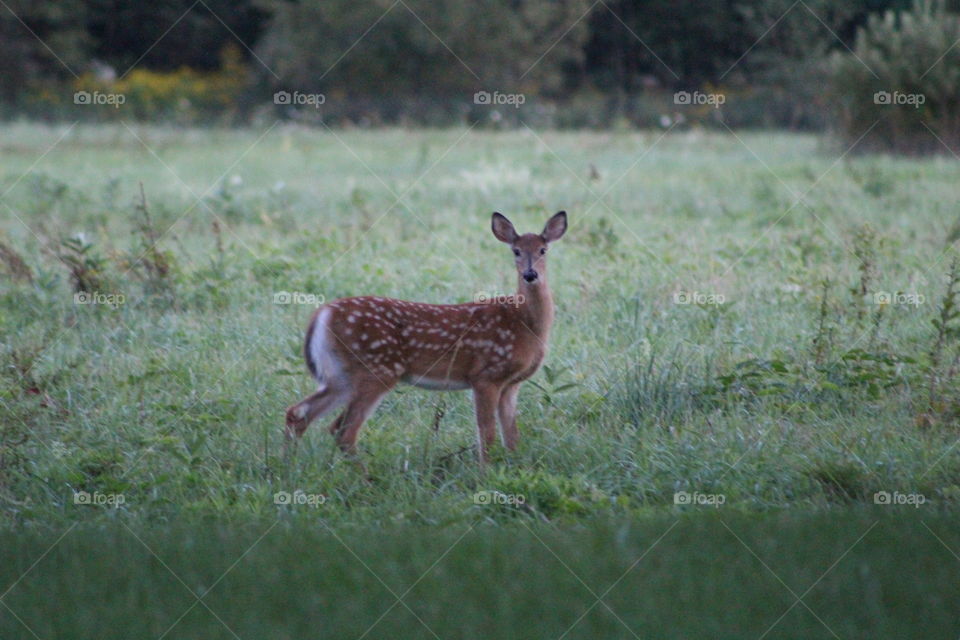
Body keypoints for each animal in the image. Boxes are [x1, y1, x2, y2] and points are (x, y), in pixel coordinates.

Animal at [285, 210, 567, 464]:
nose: (530, 274)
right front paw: (486, 475)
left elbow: (512, 437)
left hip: (341, 374)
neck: (525, 324)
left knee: (299, 413)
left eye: (543, 250)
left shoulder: (511, 384)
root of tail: (323, 314)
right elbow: (486, 435)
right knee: (343, 430)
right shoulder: (485, 375)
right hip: (377, 369)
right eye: (515, 251)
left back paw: (287, 467)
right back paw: (364, 479)